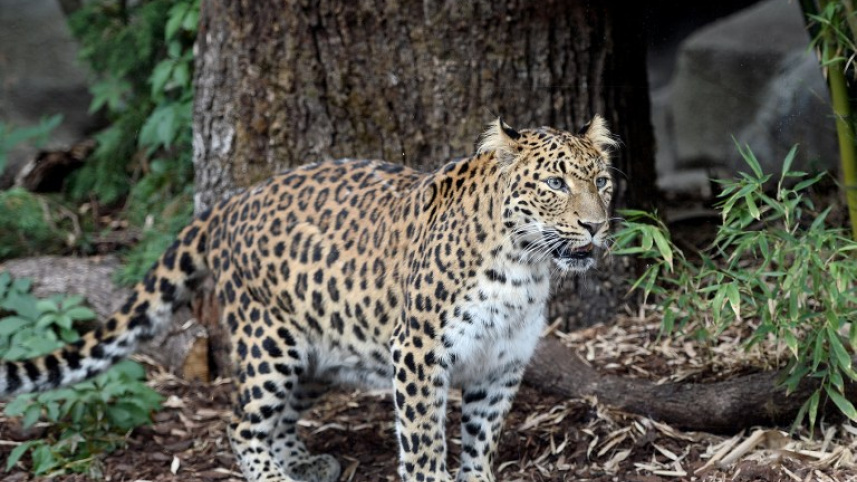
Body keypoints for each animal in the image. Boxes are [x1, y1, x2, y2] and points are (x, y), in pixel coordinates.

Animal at [0, 116, 617, 482]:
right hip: (269, 342)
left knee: (280, 418)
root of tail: (230, 203)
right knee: (242, 423)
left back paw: (304, 462)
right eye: (555, 184)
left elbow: (482, 442)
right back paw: (273, 474)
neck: (525, 269)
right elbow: (423, 442)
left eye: (603, 182)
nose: (595, 225)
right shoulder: (420, 352)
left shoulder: (503, 362)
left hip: (321, 350)